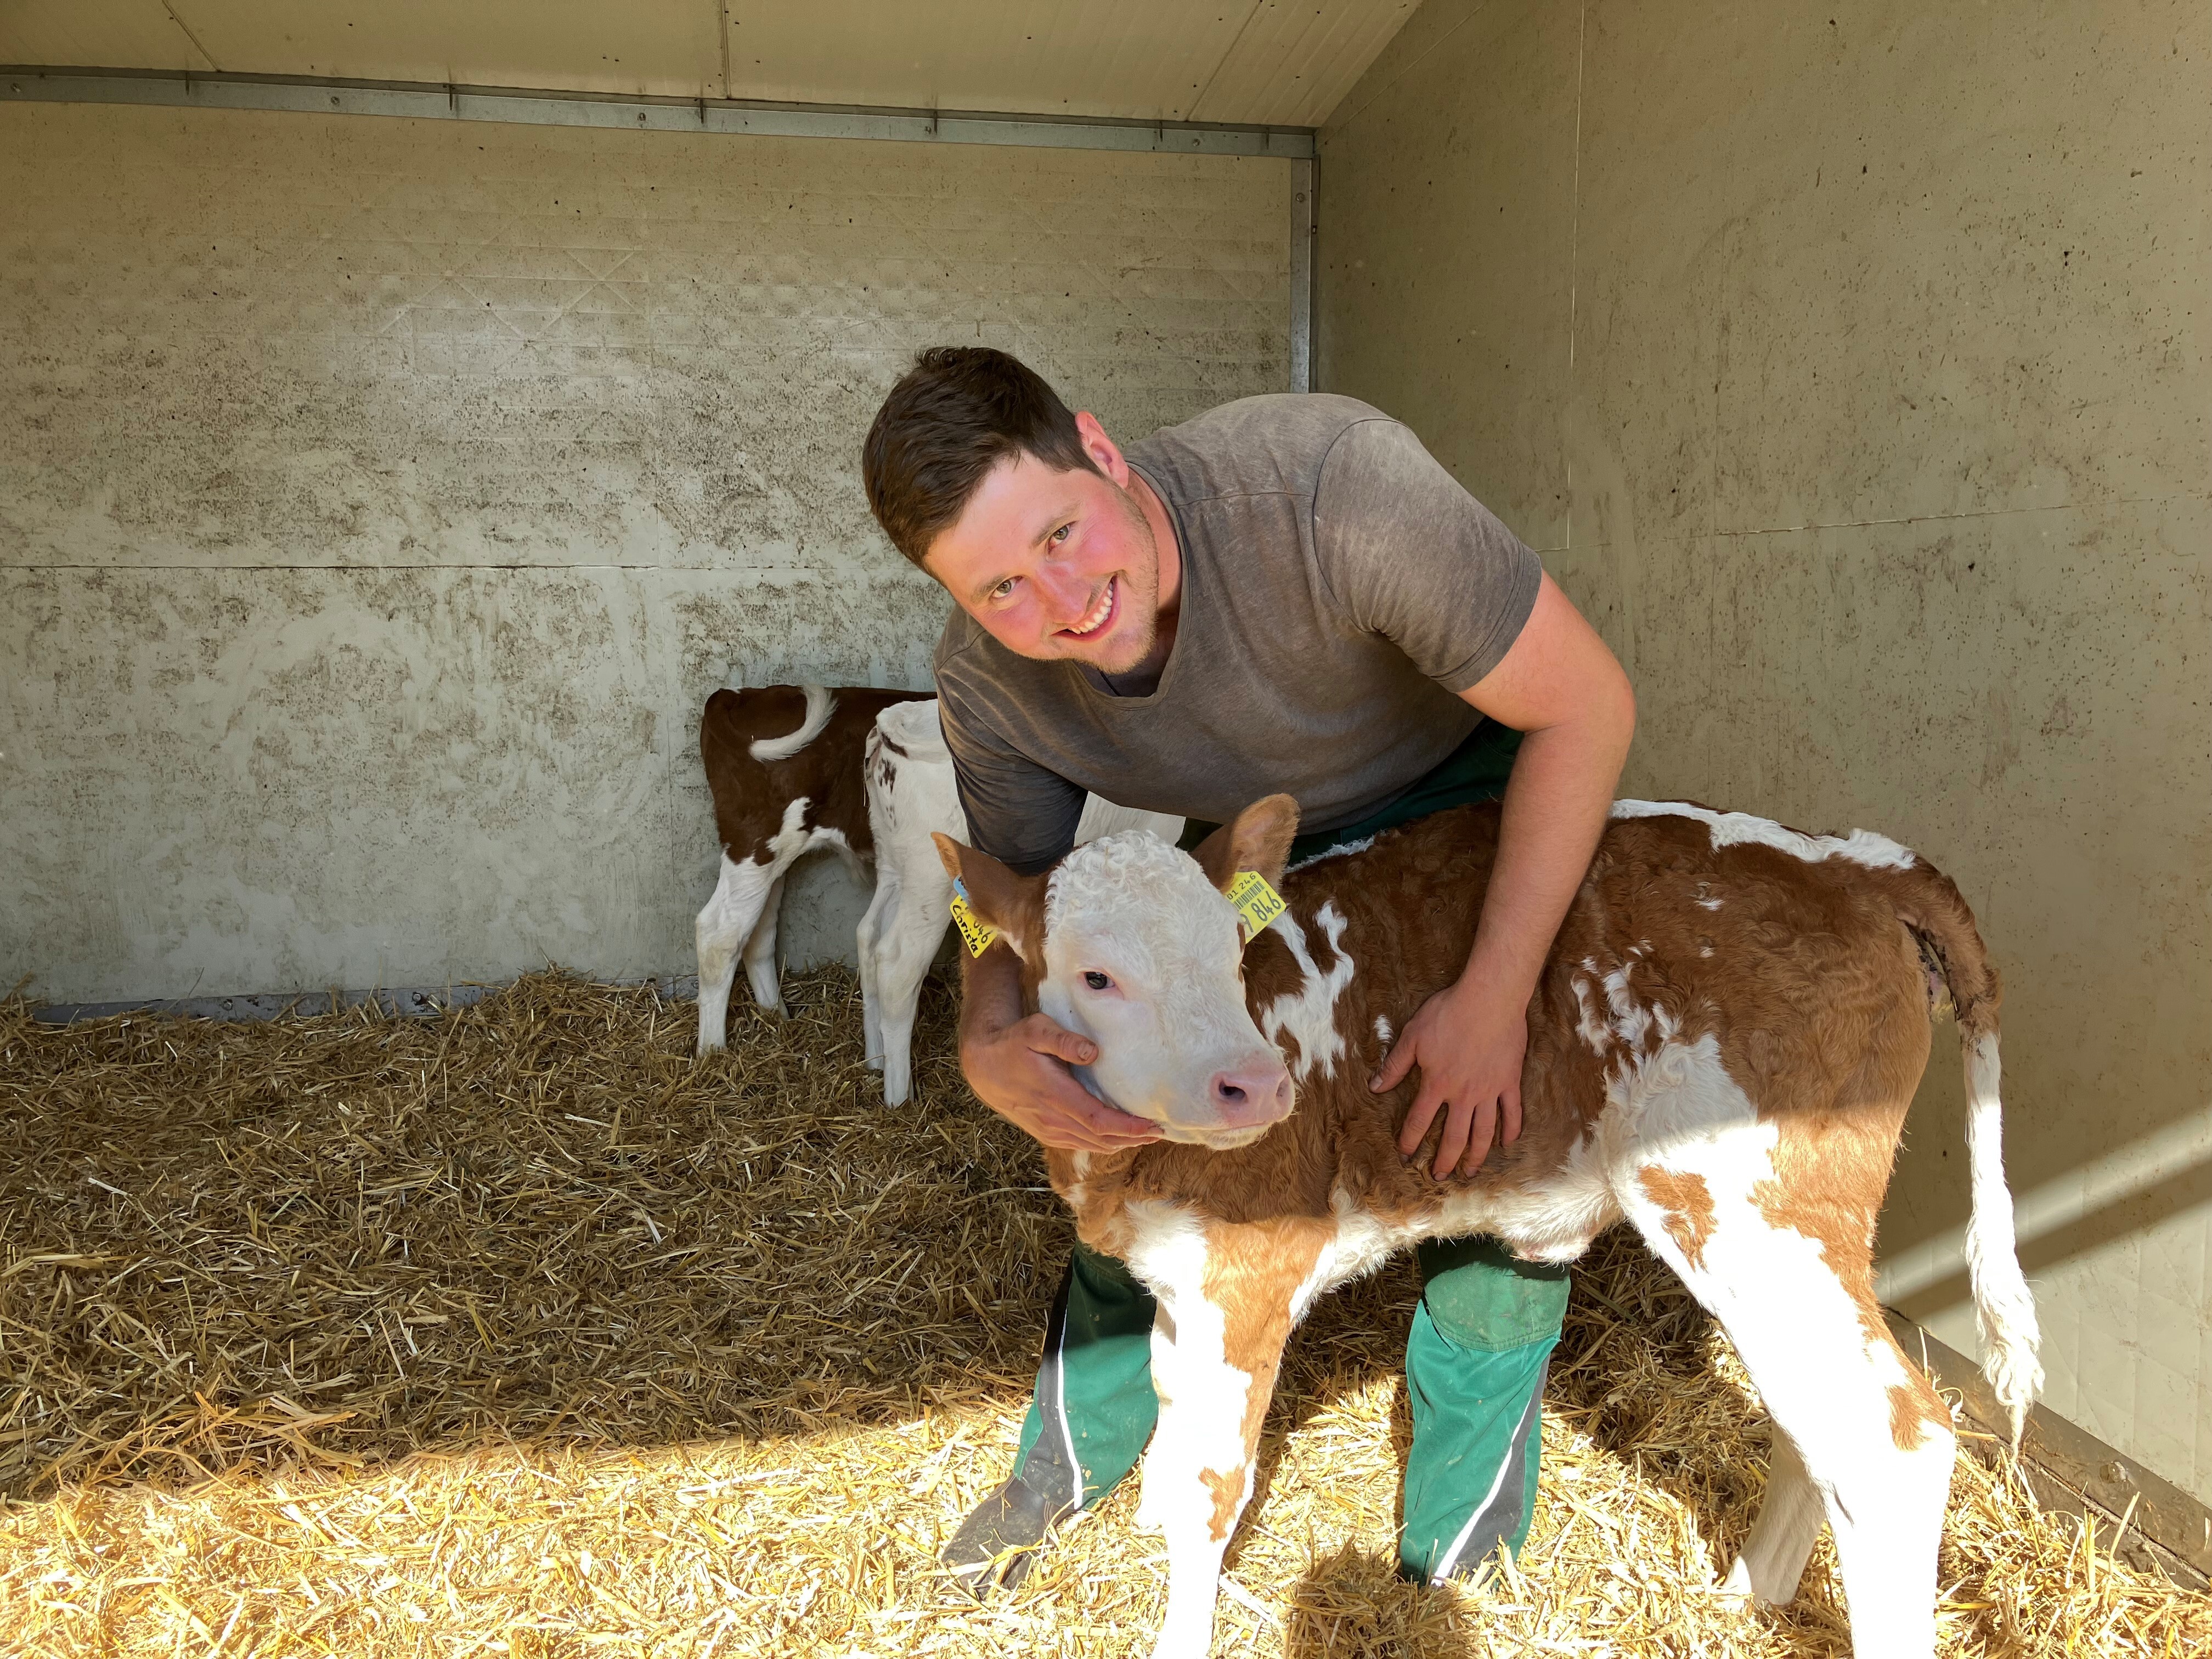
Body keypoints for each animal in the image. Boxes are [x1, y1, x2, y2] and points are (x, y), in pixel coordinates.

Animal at [933, 796, 2035, 1659]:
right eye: (1097, 976)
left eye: (1228, 952)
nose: (1255, 1085)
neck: (1119, 1175)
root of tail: (1853, 857)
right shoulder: (1175, 1276)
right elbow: (1169, 1456)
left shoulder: (1241, 1274)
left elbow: (1206, 1482)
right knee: (1824, 1420)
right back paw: (1745, 1592)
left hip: (1749, 1203)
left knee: (1891, 1441)